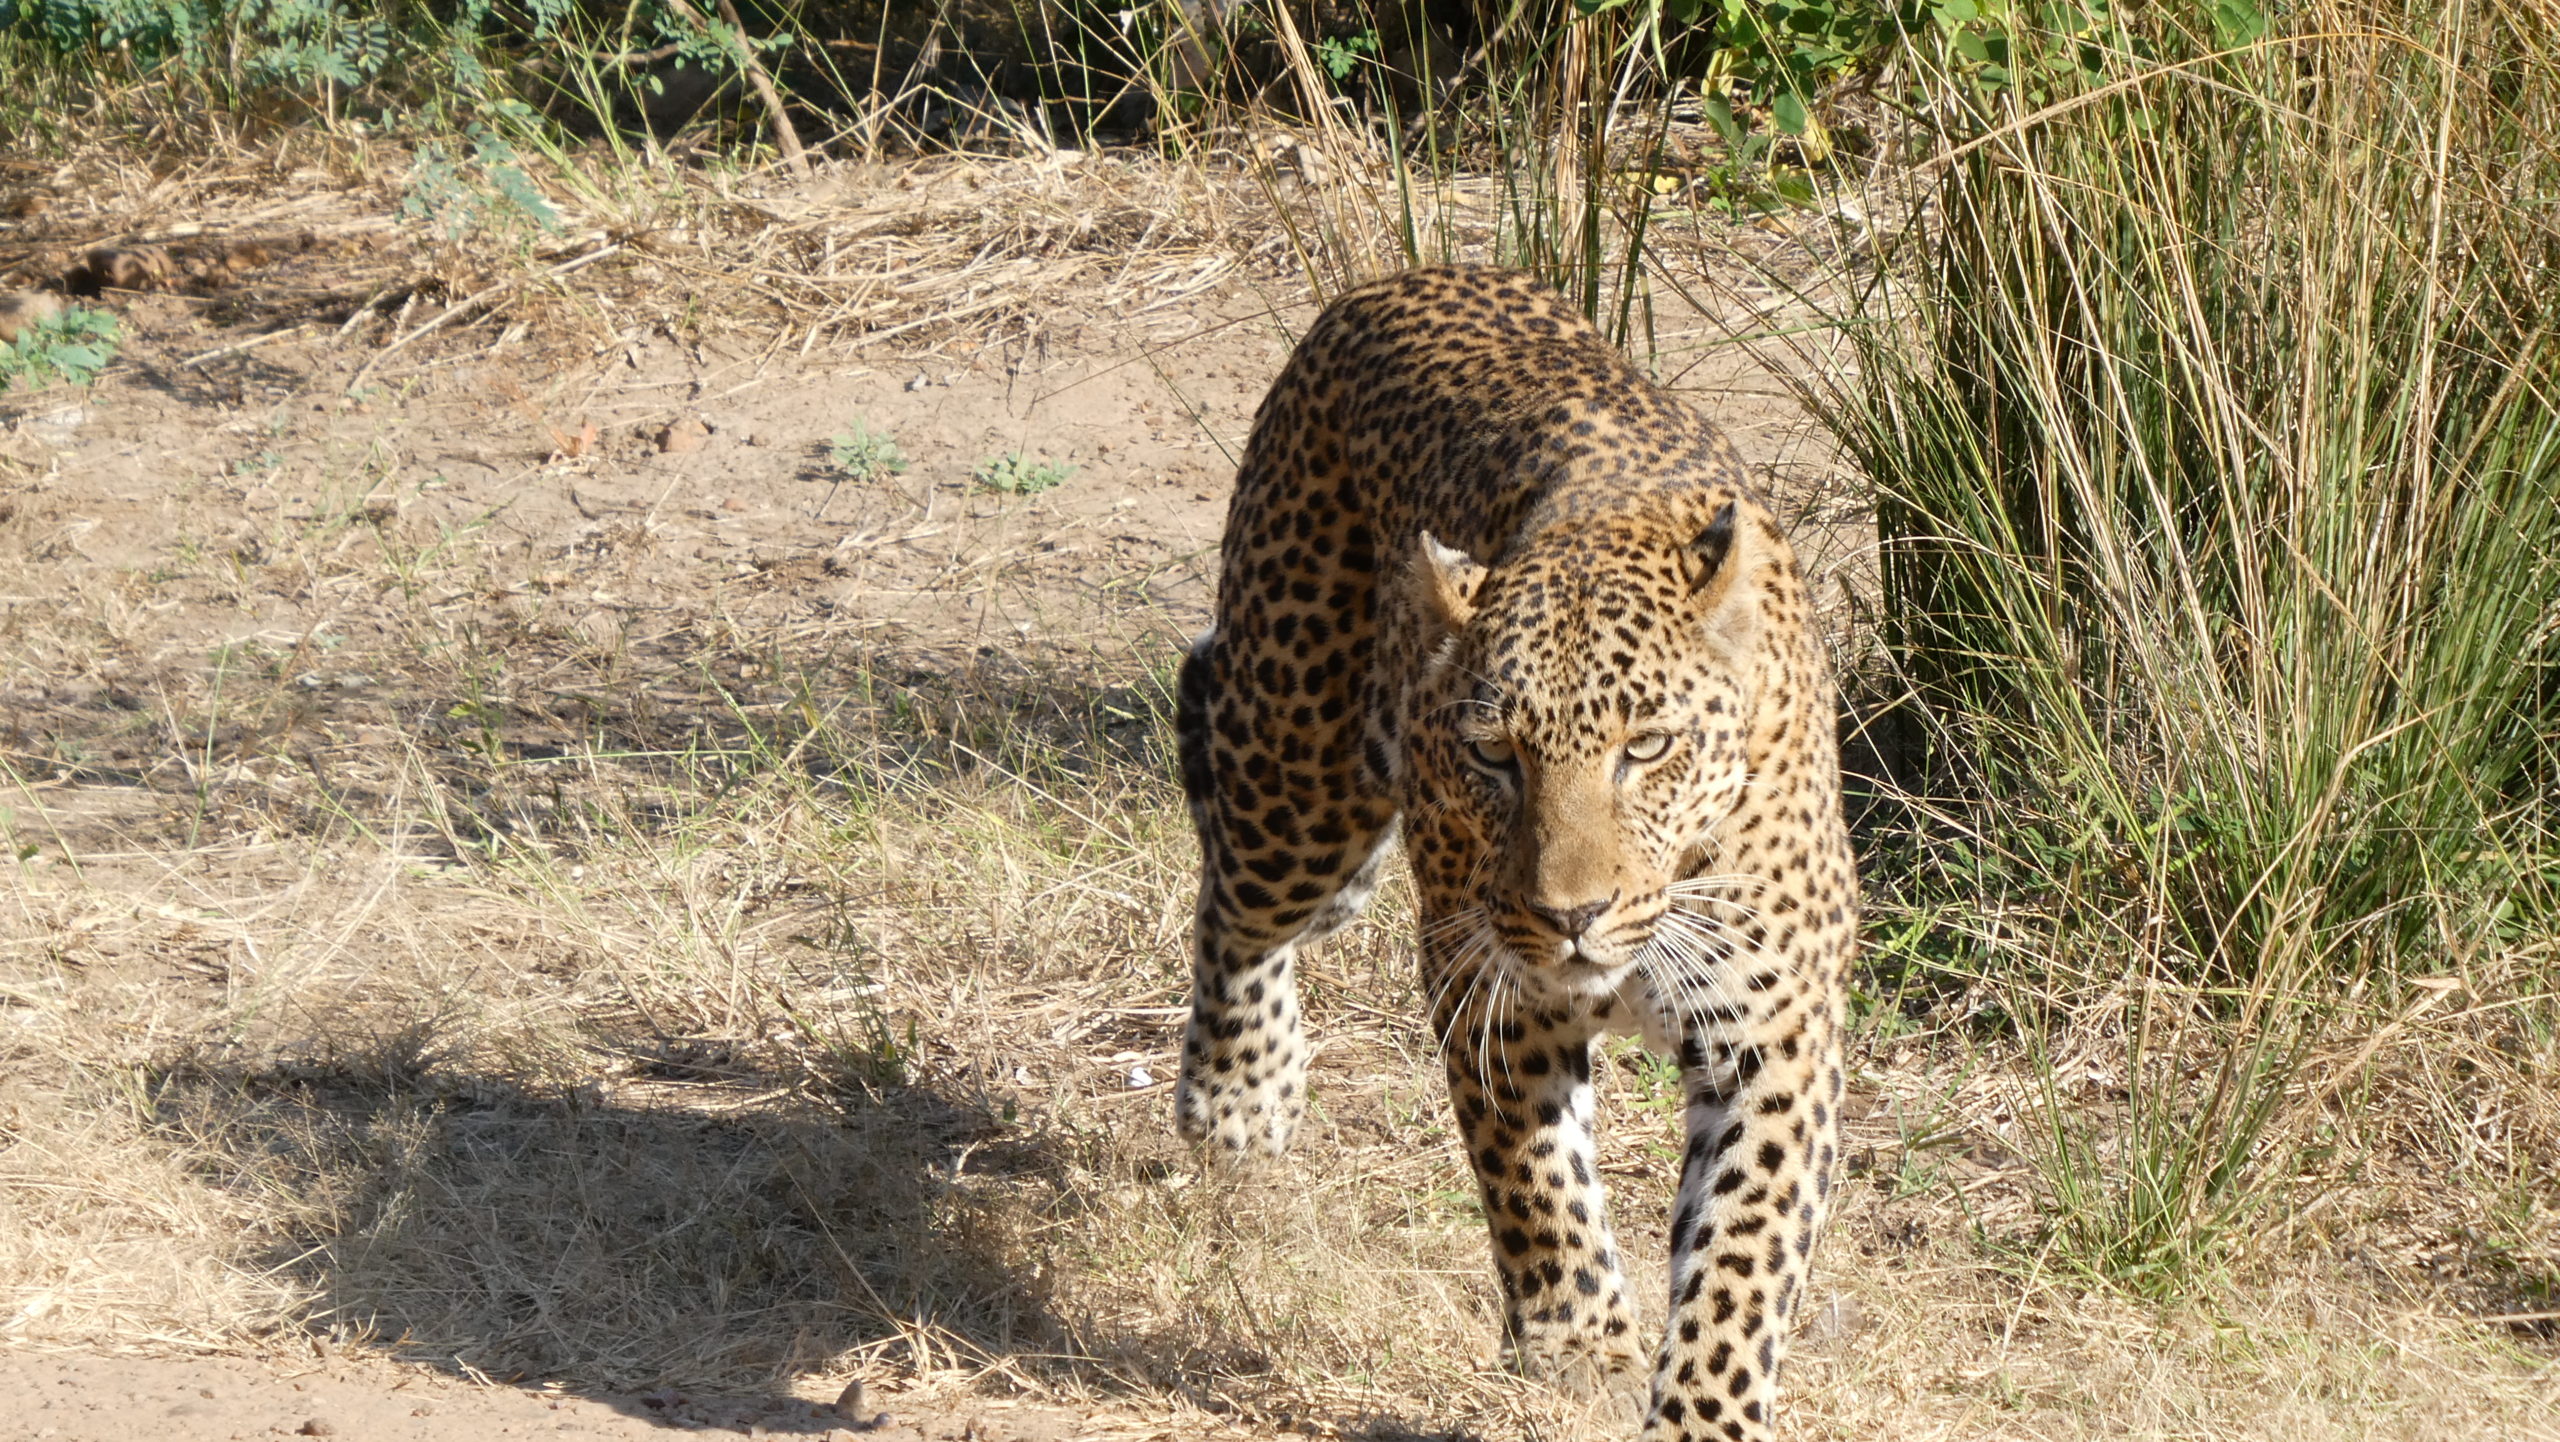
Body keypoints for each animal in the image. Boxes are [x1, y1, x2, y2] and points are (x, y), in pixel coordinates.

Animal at [1171, 265, 1857, 1442]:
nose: (1570, 914)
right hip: (1298, 772)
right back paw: (1239, 1098)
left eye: (1647, 746)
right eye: (1495, 754)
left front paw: (1700, 1414)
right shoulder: (1487, 979)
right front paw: (1579, 1345)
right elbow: (1534, 1178)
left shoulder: (1774, 1028)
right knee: (1238, 899)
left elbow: (1739, 1258)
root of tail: (1401, 278)